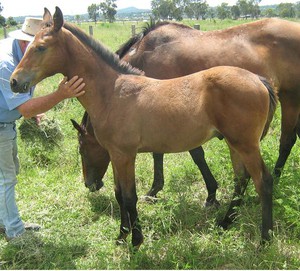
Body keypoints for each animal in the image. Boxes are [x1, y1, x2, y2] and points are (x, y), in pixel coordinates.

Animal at [9, 6, 276, 249]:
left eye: (40, 47)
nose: (14, 81)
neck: (112, 92)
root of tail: (259, 79)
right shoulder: (115, 155)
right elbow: (119, 194)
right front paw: (121, 236)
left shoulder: (125, 155)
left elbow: (129, 197)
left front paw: (136, 241)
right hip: (234, 143)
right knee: (241, 179)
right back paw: (225, 223)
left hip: (246, 145)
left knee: (263, 181)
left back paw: (265, 238)